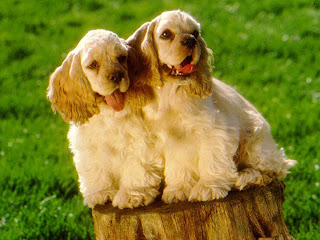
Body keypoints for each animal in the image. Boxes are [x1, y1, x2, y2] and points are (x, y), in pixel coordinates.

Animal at [47, 29, 162, 208]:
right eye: (93, 65)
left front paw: (132, 195)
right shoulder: (89, 148)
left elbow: (137, 168)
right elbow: (96, 171)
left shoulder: (141, 142)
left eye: (122, 58)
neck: (110, 114)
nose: (116, 75)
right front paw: (102, 193)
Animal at [126, 10, 296, 203]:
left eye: (195, 33)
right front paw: (178, 189)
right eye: (166, 34)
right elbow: (179, 167)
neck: (171, 94)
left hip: (255, 142)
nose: (190, 40)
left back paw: (247, 178)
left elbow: (212, 160)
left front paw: (207, 187)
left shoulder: (216, 131)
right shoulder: (172, 140)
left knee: (274, 169)